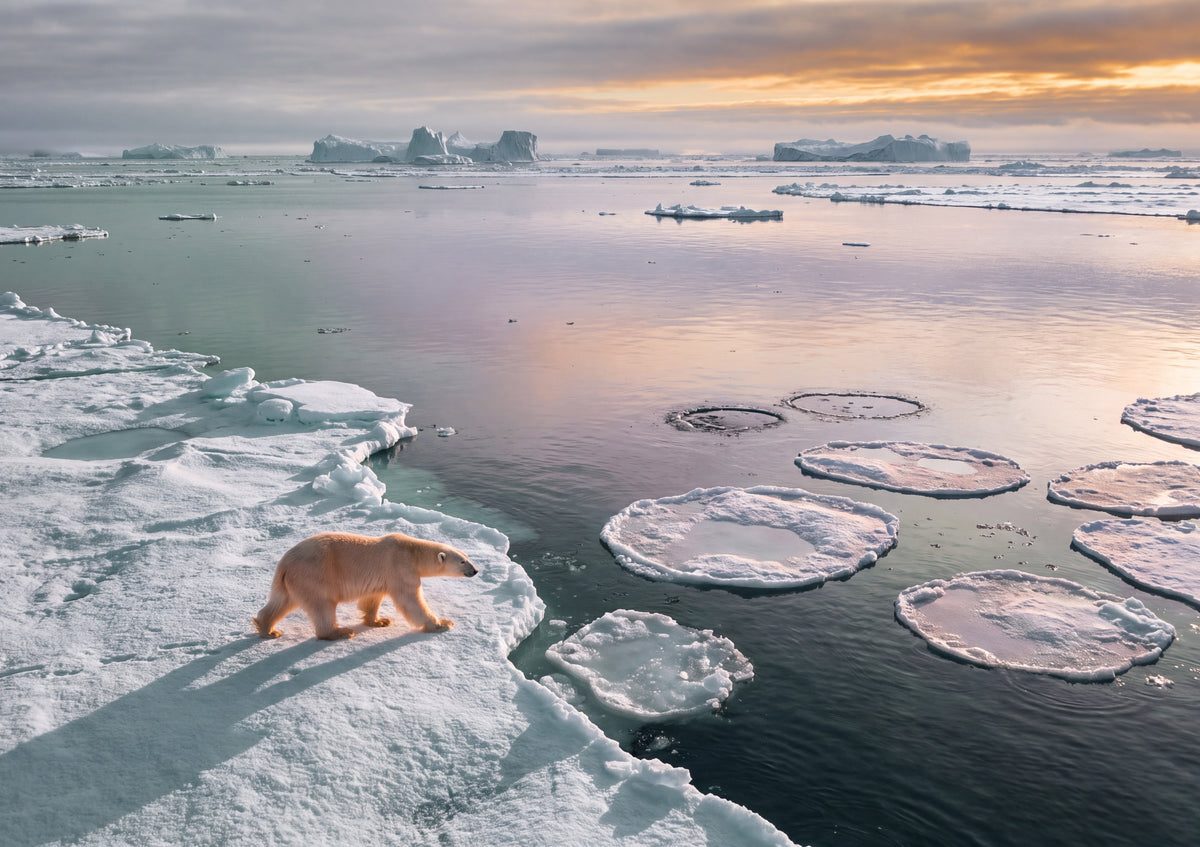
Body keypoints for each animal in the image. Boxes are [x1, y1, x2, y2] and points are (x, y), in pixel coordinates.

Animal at [253, 531, 478, 640]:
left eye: (468, 557)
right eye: (462, 561)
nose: (475, 570)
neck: (411, 551)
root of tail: (284, 563)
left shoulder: (382, 577)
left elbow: (372, 598)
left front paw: (379, 621)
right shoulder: (401, 568)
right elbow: (411, 601)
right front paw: (442, 624)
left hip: (290, 581)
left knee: (281, 602)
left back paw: (267, 629)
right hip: (314, 575)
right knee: (322, 606)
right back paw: (339, 633)